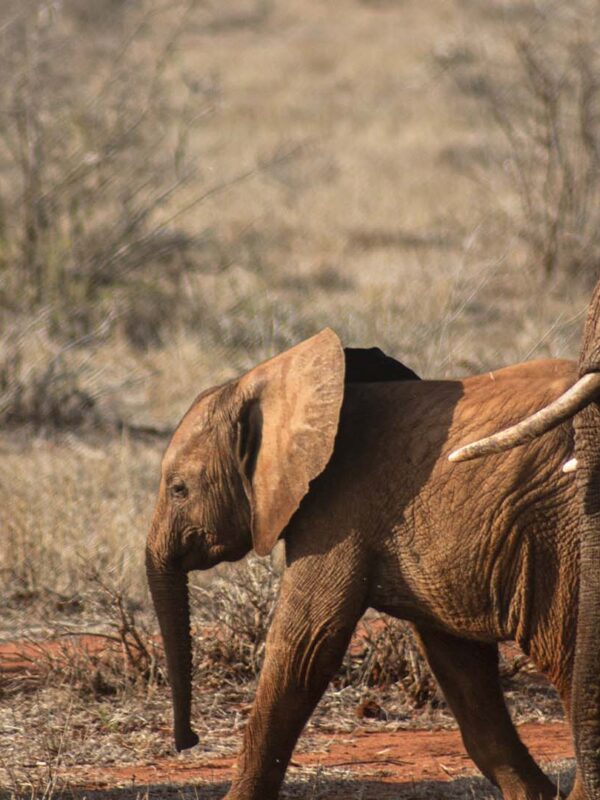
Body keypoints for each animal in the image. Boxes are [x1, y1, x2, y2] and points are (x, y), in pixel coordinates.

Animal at [146, 280, 600, 800]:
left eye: (178, 489)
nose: (188, 741)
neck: (275, 383)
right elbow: (459, 662)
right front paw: (534, 796)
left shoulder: (337, 509)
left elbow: (304, 646)